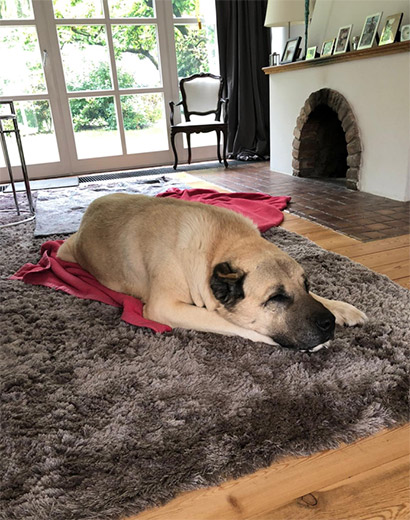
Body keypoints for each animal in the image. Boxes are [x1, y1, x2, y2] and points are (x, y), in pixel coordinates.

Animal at [57, 193, 367, 351]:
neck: (218, 247)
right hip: (67, 252)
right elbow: (227, 321)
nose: (328, 323)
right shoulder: (164, 307)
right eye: (276, 298)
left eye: (306, 285)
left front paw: (341, 308)